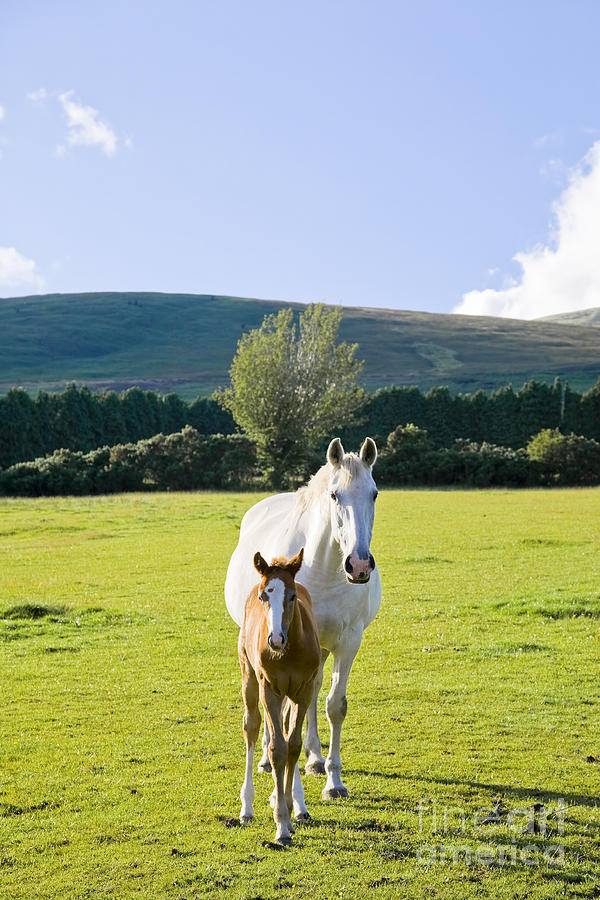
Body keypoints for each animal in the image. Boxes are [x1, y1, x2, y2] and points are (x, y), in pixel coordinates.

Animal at [225, 436, 380, 808]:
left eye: (374, 494)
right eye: (335, 495)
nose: (359, 565)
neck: (325, 568)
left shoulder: (347, 642)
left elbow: (334, 705)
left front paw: (334, 781)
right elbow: (281, 712)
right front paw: (280, 787)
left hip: (320, 650)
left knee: (311, 697)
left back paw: (315, 758)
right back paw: (268, 759)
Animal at [239, 544, 324, 848]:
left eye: (292, 596)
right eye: (265, 595)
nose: (275, 639)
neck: (288, 653)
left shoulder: (303, 690)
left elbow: (294, 746)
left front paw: (288, 807)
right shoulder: (270, 690)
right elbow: (277, 749)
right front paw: (282, 826)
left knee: (287, 731)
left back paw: (295, 803)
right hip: (250, 678)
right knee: (252, 726)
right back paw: (246, 808)